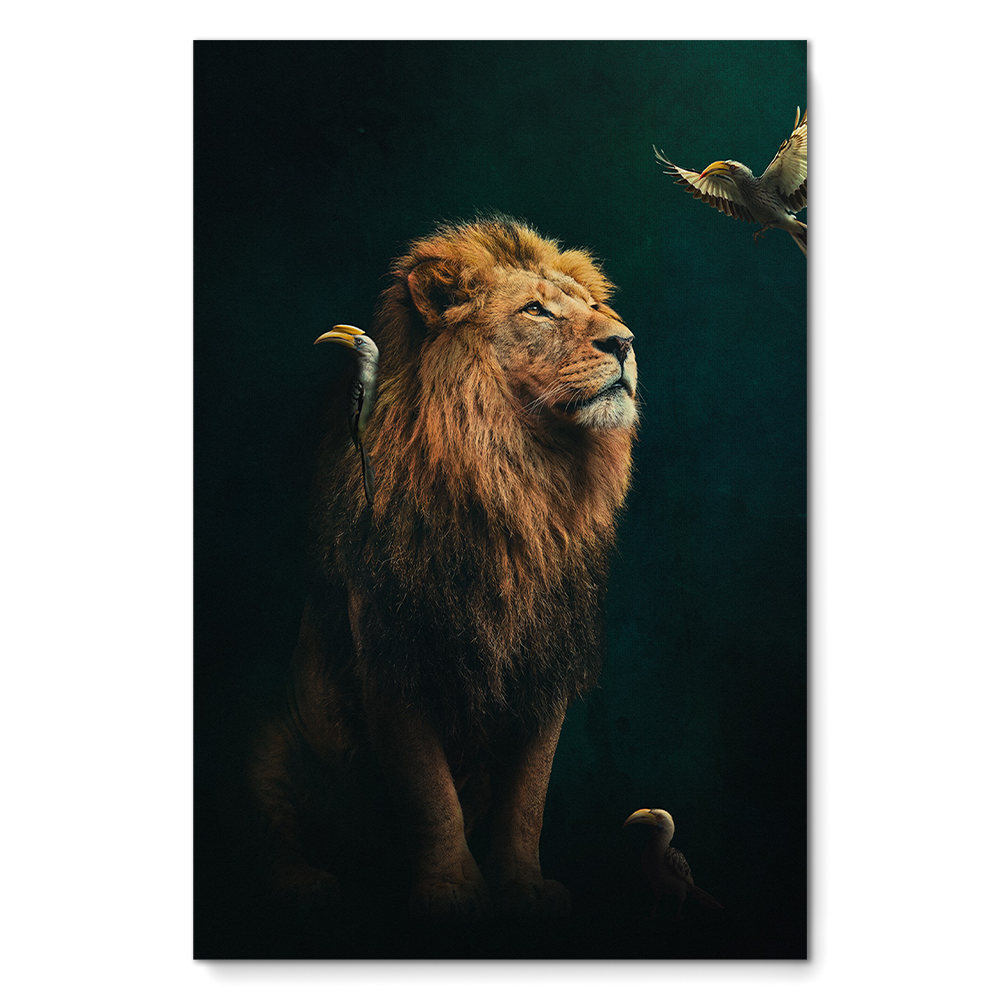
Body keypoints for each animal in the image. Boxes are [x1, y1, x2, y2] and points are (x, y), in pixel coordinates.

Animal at [252, 217, 638, 922]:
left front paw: (523, 887)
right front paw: (453, 892)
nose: (624, 341)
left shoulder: (546, 660)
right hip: (271, 736)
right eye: (536, 310)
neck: (521, 480)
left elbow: (528, 797)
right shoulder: (394, 650)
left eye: (590, 307)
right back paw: (304, 883)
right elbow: (430, 793)